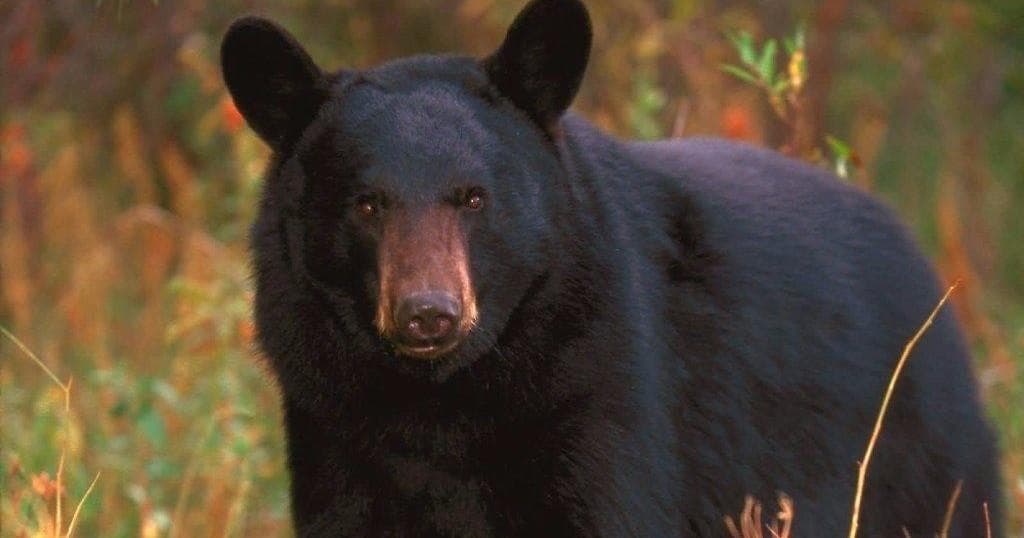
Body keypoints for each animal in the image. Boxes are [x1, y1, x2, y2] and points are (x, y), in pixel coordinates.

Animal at [220, 0, 1002, 536]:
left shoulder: (599, 388)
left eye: (474, 196)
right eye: (367, 203)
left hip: (921, 462)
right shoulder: (333, 422)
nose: (428, 313)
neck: (444, 397)